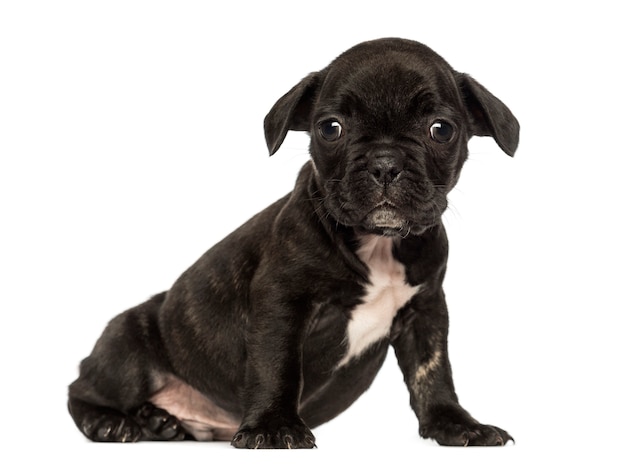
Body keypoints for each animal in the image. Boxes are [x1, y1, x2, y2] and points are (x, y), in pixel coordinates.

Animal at [67, 39, 516, 448]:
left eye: (441, 129)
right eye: (330, 128)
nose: (385, 162)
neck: (377, 244)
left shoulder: (425, 311)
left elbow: (433, 372)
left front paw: (456, 424)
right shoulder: (282, 301)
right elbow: (277, 364)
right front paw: (272, 426)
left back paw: (159, 422)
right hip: (127, 351)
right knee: (83, 387)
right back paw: (111, 423)